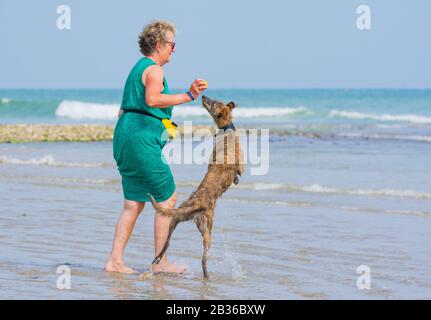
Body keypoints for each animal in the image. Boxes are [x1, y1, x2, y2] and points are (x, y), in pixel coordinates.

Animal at [148, 95, 245, 280]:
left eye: (214, 102)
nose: (204, 96)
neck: (225, 131)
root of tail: (196, 204)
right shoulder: (241, 165)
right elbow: (240, 171)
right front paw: (236, 179)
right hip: (208, 231)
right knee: (203, 258)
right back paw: (206, 276)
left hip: (175, 219)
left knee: (167, 242)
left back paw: (158, 258)